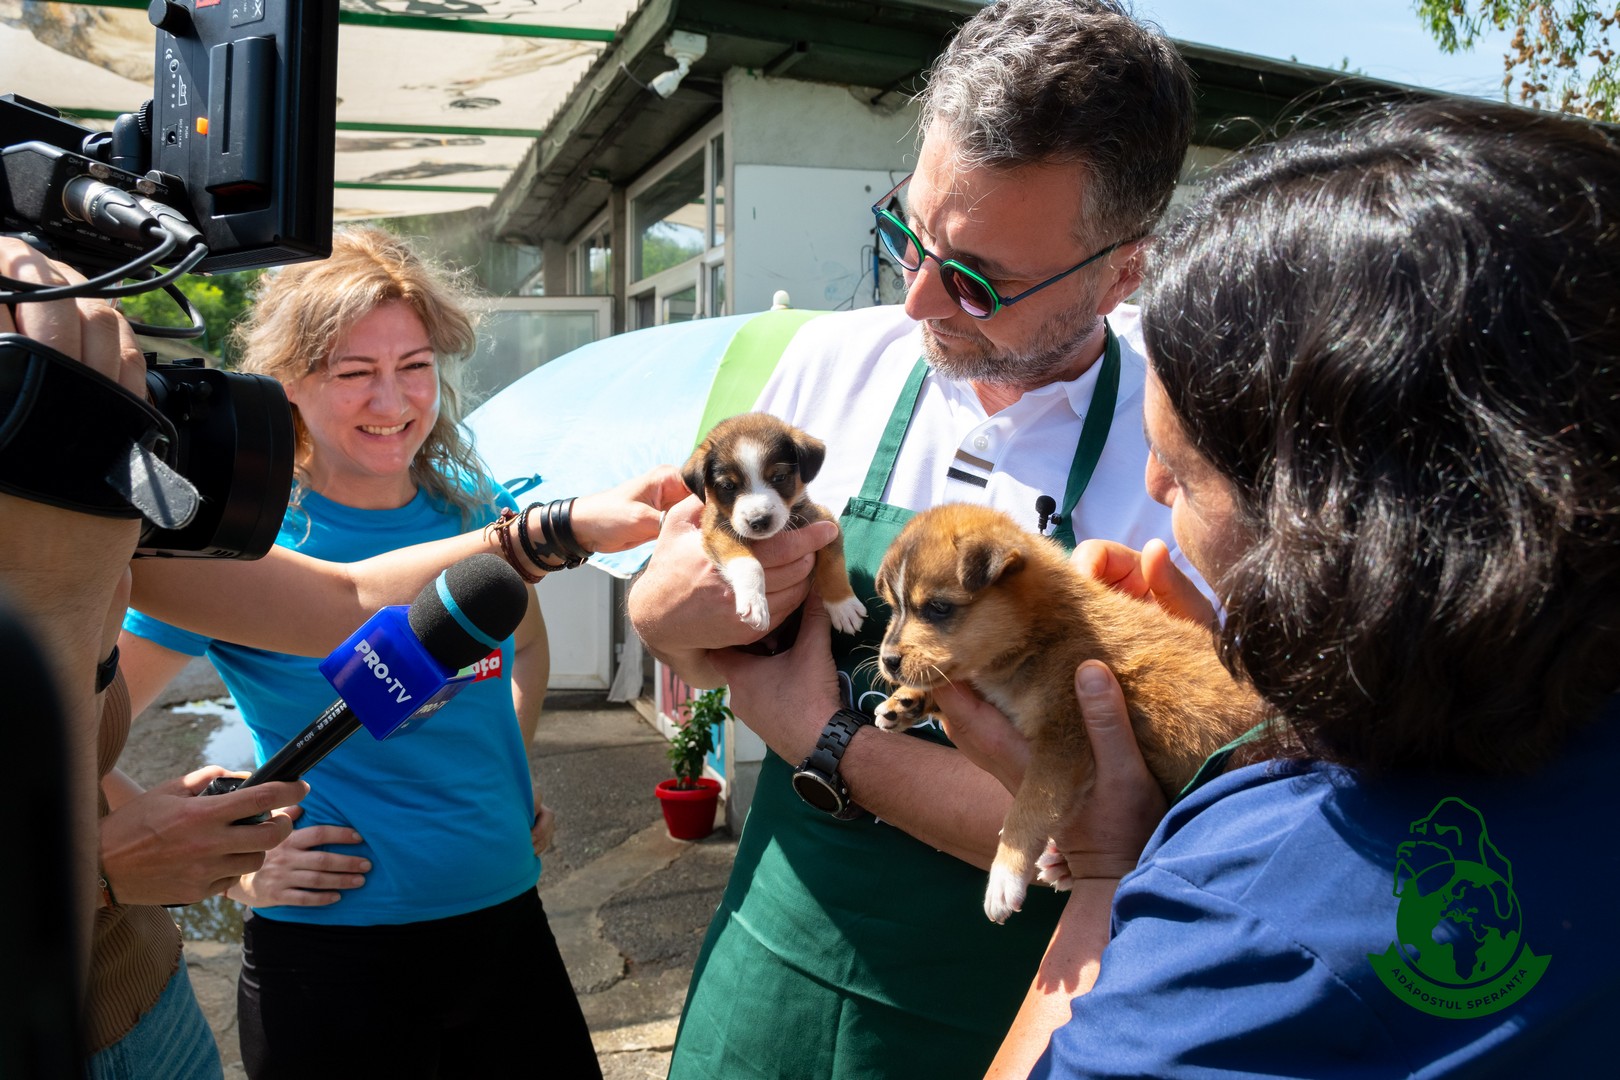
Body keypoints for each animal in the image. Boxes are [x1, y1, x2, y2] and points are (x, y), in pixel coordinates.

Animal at [681, 412, 866, 636]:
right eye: (728, 486)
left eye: (779, 477)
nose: (759, 521)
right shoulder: (717, 531)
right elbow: (750, 564)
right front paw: (755, 603)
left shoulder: (826, 522)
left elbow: (833, 565)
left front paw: (843, 605)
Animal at [872, 503, 1266, 923]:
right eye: (894, 608)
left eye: (938, 607)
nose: (888, 661)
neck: (1040, 632)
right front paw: (907, 701)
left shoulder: (1064, 738)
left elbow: (1029, 806)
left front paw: (1005, 875)